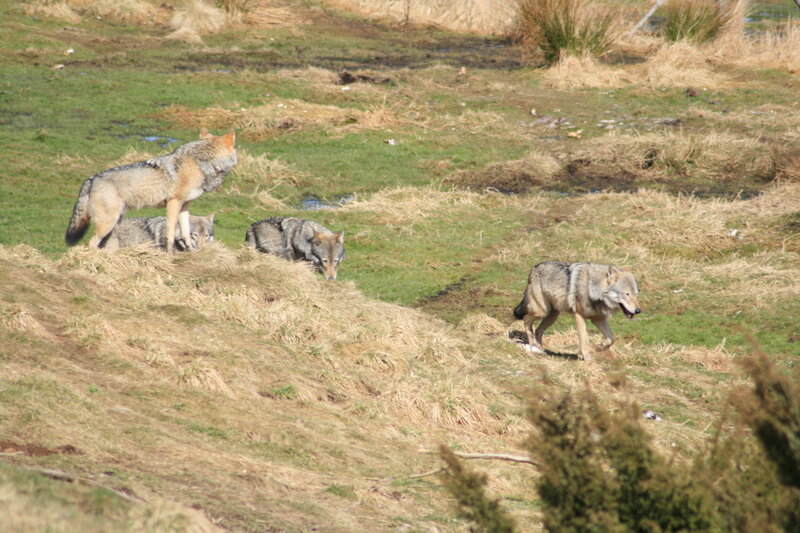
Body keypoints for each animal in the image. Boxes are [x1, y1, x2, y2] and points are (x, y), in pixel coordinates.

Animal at [65, 129, 236, 252]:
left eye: (205, 235)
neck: (200, 163)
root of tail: (91, 179)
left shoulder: (185, 205)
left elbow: (185, 230)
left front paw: (190, 250)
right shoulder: (173, 202)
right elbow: (170, 232)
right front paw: (169, 253)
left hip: (113, 224)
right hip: (107, 223)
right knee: (91, 243)